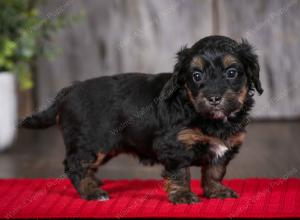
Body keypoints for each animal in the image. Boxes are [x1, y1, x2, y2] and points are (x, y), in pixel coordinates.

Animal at [18, 34, 262, 205]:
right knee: (74, 165)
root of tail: (67, 92)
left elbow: (215, 170)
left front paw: (216, 191)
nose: (214, 98)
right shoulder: (173, 145)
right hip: (90, 142)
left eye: (232, 72)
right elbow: (180, 173)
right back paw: (91, 192)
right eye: (196, 75)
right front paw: (183, 195)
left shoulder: (224, 146)